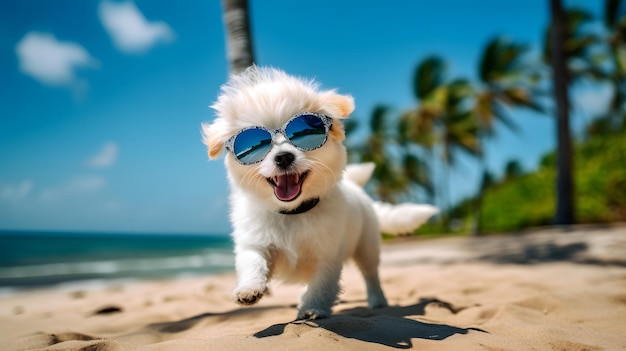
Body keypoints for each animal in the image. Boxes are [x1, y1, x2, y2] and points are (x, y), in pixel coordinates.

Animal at [202, 66, 436, 322]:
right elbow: (253, 262)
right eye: (257, 146)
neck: (293, 212)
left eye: (300, 136)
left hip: (367, 246)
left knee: (370, 274)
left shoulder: (328, 255)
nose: (283, 157)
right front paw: (249, 289)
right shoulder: (255, 242)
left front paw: (312, 308)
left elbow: (322, 284)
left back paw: (378, 300)